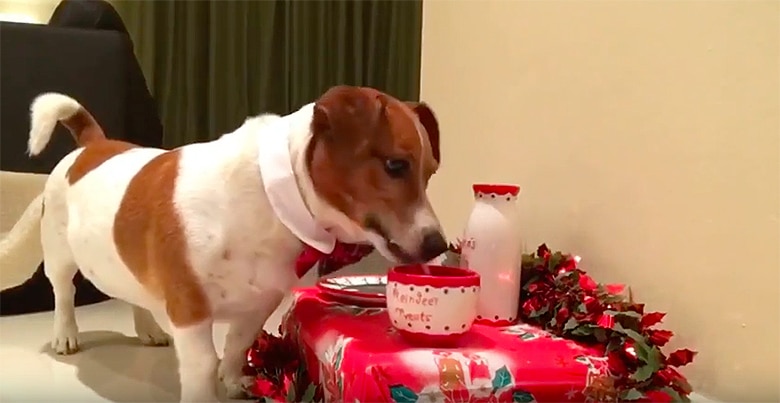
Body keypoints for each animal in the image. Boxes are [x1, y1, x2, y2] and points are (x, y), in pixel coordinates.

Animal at [3, 87, 448, 402]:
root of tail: (92, 143)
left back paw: (147, 329)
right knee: (64, 294)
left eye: (430, 173)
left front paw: (234, 382)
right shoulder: (190, 312)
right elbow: (202, 368)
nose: (437, 243)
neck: (269, 196)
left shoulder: (259, 302)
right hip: (59, 256)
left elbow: (236, 346)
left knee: (134, 295)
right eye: (395, 166)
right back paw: (66, 334)